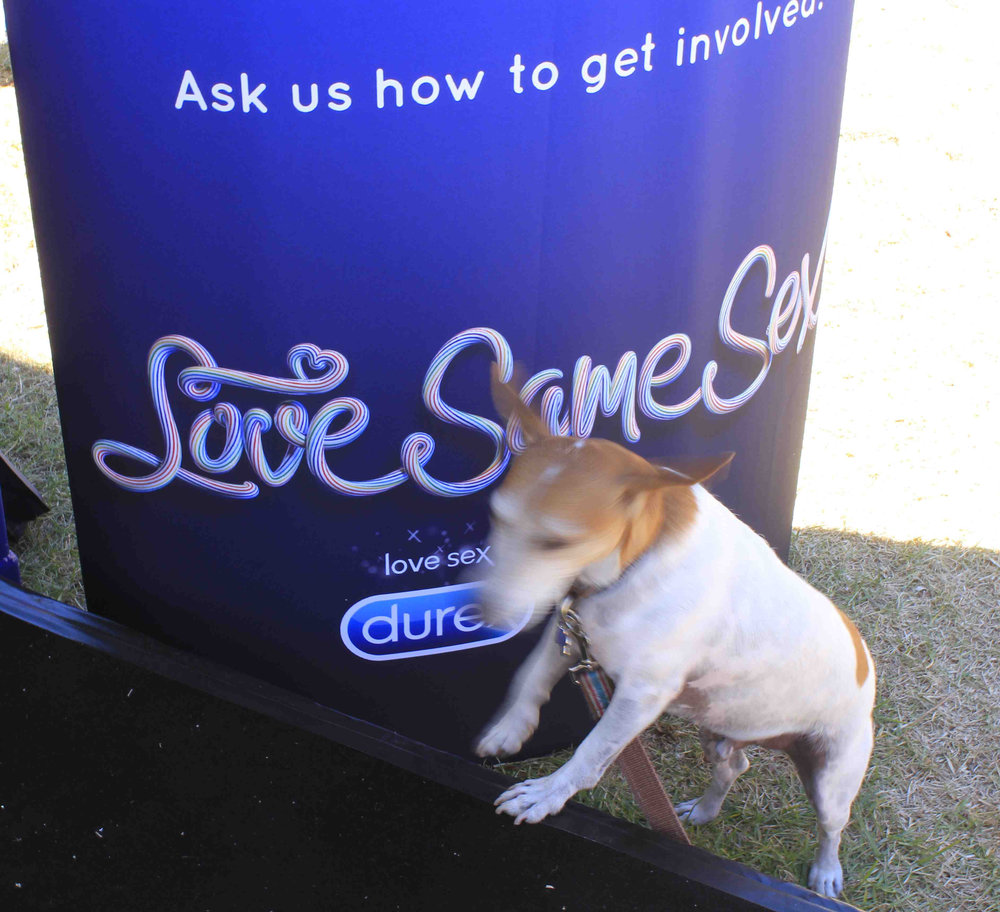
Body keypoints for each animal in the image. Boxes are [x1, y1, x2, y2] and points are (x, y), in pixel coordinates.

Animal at [472, 370, 872, 896]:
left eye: (557, 542)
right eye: (497, 516)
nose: (482, 612)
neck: (635, 562)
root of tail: (866, 663)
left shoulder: (640, 696)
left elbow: (590, 751)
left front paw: (547, 793)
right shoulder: (572, 632)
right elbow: (529, 678)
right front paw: (510, 727)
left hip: (832, 778)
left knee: (831, 827)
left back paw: (826, 872)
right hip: (719, 732)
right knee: (734, 767)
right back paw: (702, 811)